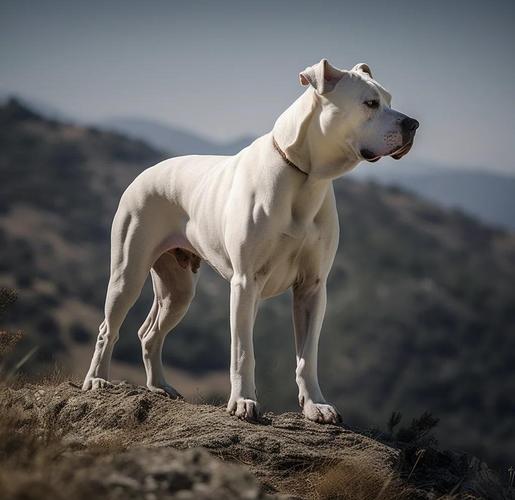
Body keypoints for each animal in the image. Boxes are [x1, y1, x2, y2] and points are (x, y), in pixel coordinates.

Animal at [81, 60, 420, 424]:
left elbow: (308, 355)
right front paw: (242, 401)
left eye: (389, 99)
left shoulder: (312, 288)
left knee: (150, 333)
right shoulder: (245, 283)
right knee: (107, 329)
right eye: (370, 103)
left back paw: (159, 385)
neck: (304, 176)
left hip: (179, 290)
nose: (412, 124)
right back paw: (97, 379)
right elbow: (243, 350)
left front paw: (315, 404)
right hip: (127, 275)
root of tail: (146, 172)